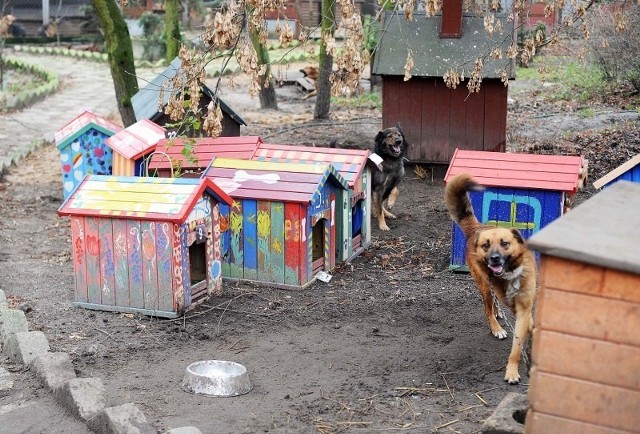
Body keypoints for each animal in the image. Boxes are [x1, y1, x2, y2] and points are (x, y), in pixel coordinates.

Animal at [444, 173, 540, 384]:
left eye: (505, 243)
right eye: (486, 245)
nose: (494, 258)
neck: (511, 274)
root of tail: (477, 228)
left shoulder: (524, 307)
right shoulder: (516, 308)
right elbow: (516, 348)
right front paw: (512, 372)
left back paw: (498, 313)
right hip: (484, 285)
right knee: (487, 308)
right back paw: (496, 326)